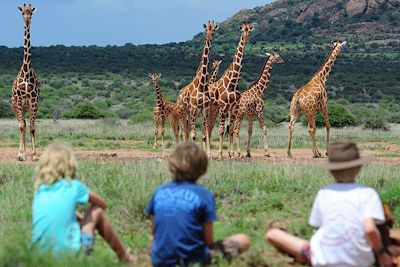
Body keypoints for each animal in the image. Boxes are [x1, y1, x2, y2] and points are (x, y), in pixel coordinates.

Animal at [176, 20, 219, 155]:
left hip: (190, 114)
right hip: (183, 112)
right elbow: (194, 135)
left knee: (187, 131)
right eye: (206, 30)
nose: (209, 37)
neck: (202, 84)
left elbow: (204, 135)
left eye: (214, 30)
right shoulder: (194, 109)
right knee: (183, 132)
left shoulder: (205, 110)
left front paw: (208, 153)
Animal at [206, 21, 253, 159]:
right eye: (242, 31)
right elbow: (222, 131)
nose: (246, 39)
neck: (232, 82)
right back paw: (208, 153)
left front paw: (232, 154)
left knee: (208, 128)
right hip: (208, 109)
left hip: (213, 109)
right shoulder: (223, 108)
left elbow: (231, 129)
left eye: (250, 31)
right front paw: (220, 155)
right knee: (206, 127)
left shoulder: (234, 108)